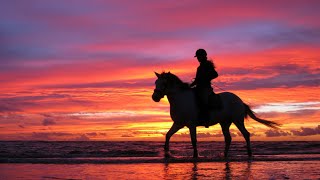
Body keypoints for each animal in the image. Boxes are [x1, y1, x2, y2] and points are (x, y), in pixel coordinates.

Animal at [152, 71, 280, 158]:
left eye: (164, 83)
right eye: (156, 82)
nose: (155, 97)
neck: (181, 99)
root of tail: (239, 100)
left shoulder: (191, 125)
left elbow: (193, 140)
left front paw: (195, 155)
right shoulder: (178, 124)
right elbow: (168, 135)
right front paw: (166, 152)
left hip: (238, 121)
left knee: (246, 134)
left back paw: (249, 153)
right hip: (225, 123)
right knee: (228, 138)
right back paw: (225, 154)